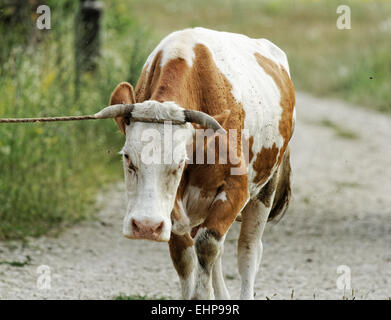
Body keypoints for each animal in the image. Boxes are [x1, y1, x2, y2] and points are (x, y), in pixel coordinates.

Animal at [99, 27, 296, 300]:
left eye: (180, 162)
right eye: (127, 156)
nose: (146, 226)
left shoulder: (237, 188)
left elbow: (208, 244)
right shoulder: (173, 210)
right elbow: (184, 257)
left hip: (266, 188)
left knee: (248, 250)